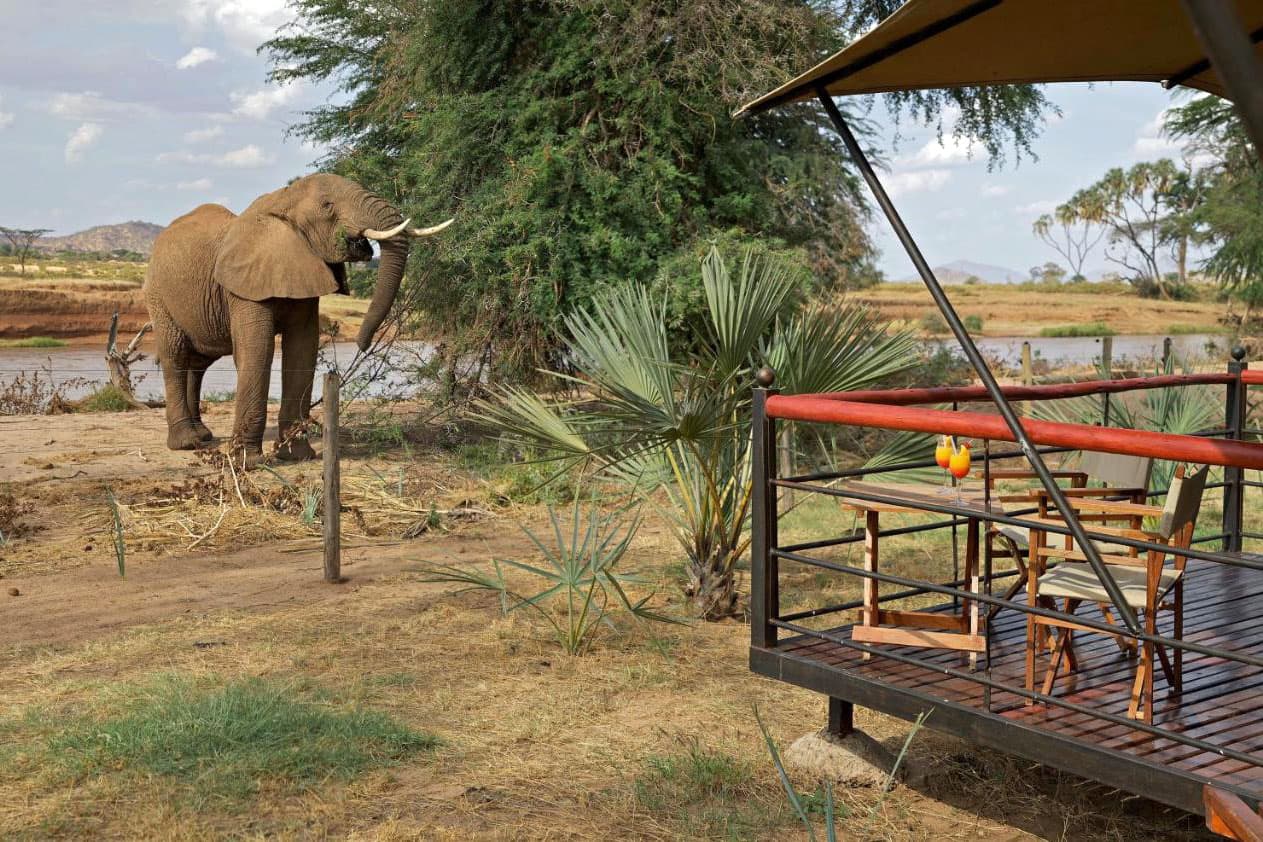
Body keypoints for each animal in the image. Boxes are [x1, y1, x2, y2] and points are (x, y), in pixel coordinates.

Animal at [144, 170, 449, 462]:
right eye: (328, 206)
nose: (363, 345)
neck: (282, 200)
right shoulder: (243, 288)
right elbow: (259, 351)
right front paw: (248, 462)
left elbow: (303, 349)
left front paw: (297, 456)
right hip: (158, 295)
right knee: (176, 354)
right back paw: (186, 442)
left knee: (199, 362)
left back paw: (203, 436)